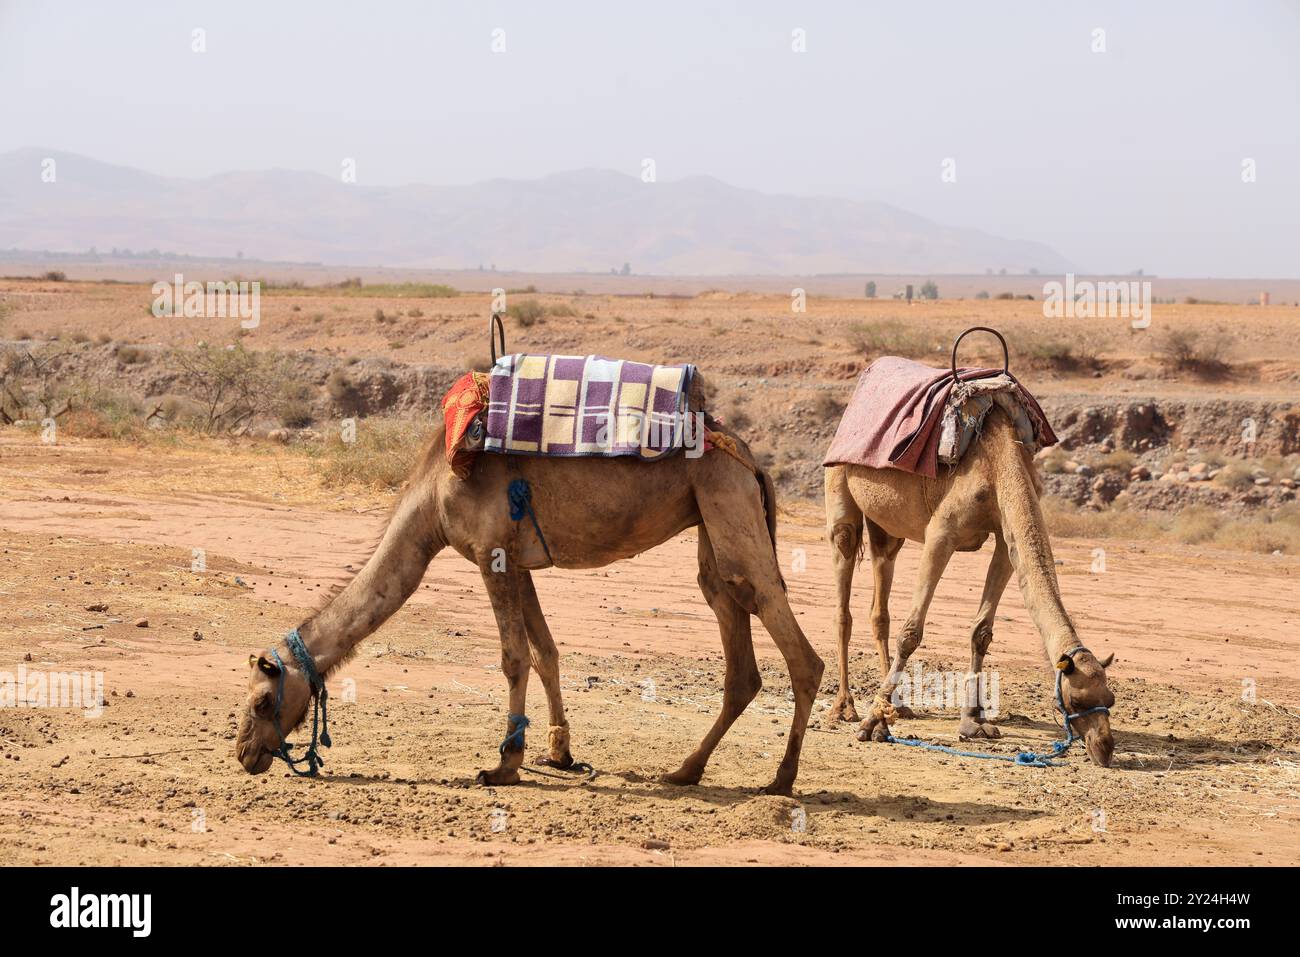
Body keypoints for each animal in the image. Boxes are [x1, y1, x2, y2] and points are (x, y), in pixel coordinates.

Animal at [233, 377, 821, 795]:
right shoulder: (520, 562)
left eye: (262, 701)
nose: (244, 754)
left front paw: (503, 765)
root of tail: (749, 455)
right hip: (711, 515)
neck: (432, 501)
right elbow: (546, 653)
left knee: (790, 639)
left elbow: (514, 657)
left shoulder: (491, 553)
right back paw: (685, 771)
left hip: (727, 499)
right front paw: (559, 753)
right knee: (732, 628)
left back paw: (781, 779)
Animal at [826, 408, 1112, 764]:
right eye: (1076, 700)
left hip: (886, 527)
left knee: (880, 603)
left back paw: (900, 706)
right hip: (841, 496)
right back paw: (845, 708)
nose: (1105, 748)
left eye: (1111, 700)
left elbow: (981, 632)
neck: (1000, 463)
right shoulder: (941, 532)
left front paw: (973, 722)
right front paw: (870, 723)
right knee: (843, 586)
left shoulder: (1005, 537)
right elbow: (911, 633)